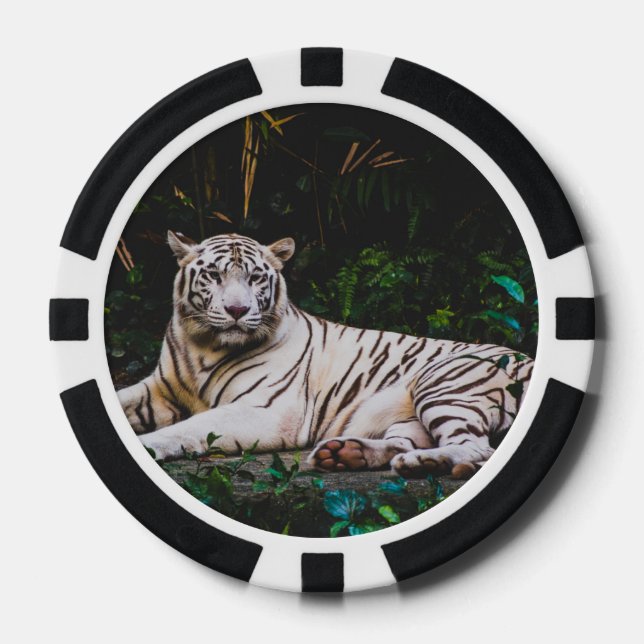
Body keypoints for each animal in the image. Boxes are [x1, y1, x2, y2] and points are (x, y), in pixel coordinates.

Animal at [117, 231, 533, 479]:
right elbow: (125, 400)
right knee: (408, 441)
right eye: (214, 276)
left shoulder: (267, 411)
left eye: (254, 278)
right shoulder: (158, 391)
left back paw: (422, 463)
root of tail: (527, 360)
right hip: (410, 415)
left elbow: (190, 427)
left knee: (476, 447)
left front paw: (149, 446)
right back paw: (347, 455)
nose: (237, 310)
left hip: (441, 383)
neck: (203, 344)